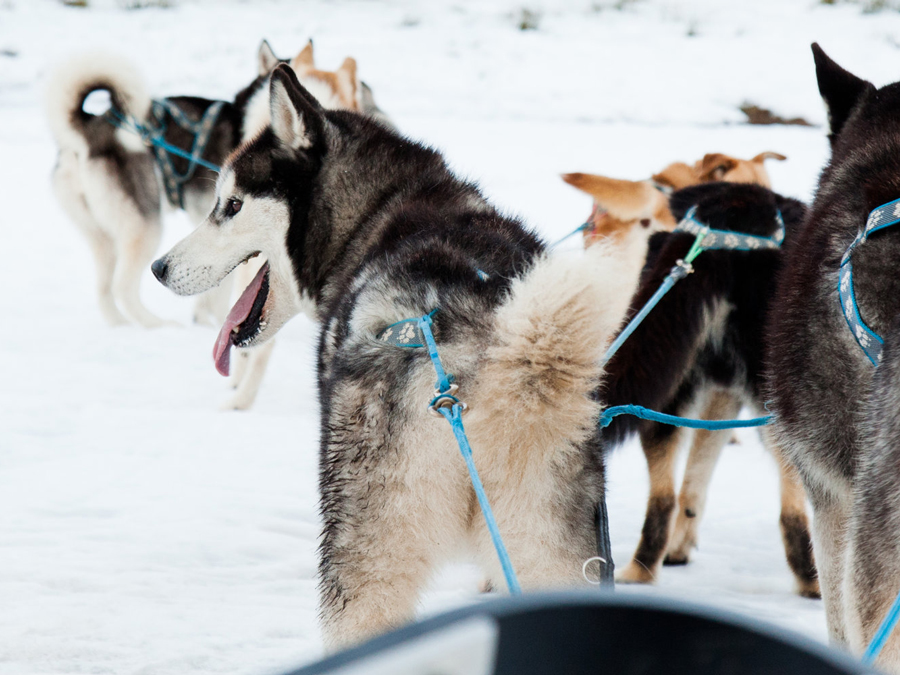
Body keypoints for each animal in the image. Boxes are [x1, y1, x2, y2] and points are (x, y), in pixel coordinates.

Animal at [151, 64, 636, 648]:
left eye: (232, 205)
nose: (158, 268)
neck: (378, 210)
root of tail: (500, 356)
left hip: (366, 539)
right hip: (551, 544)